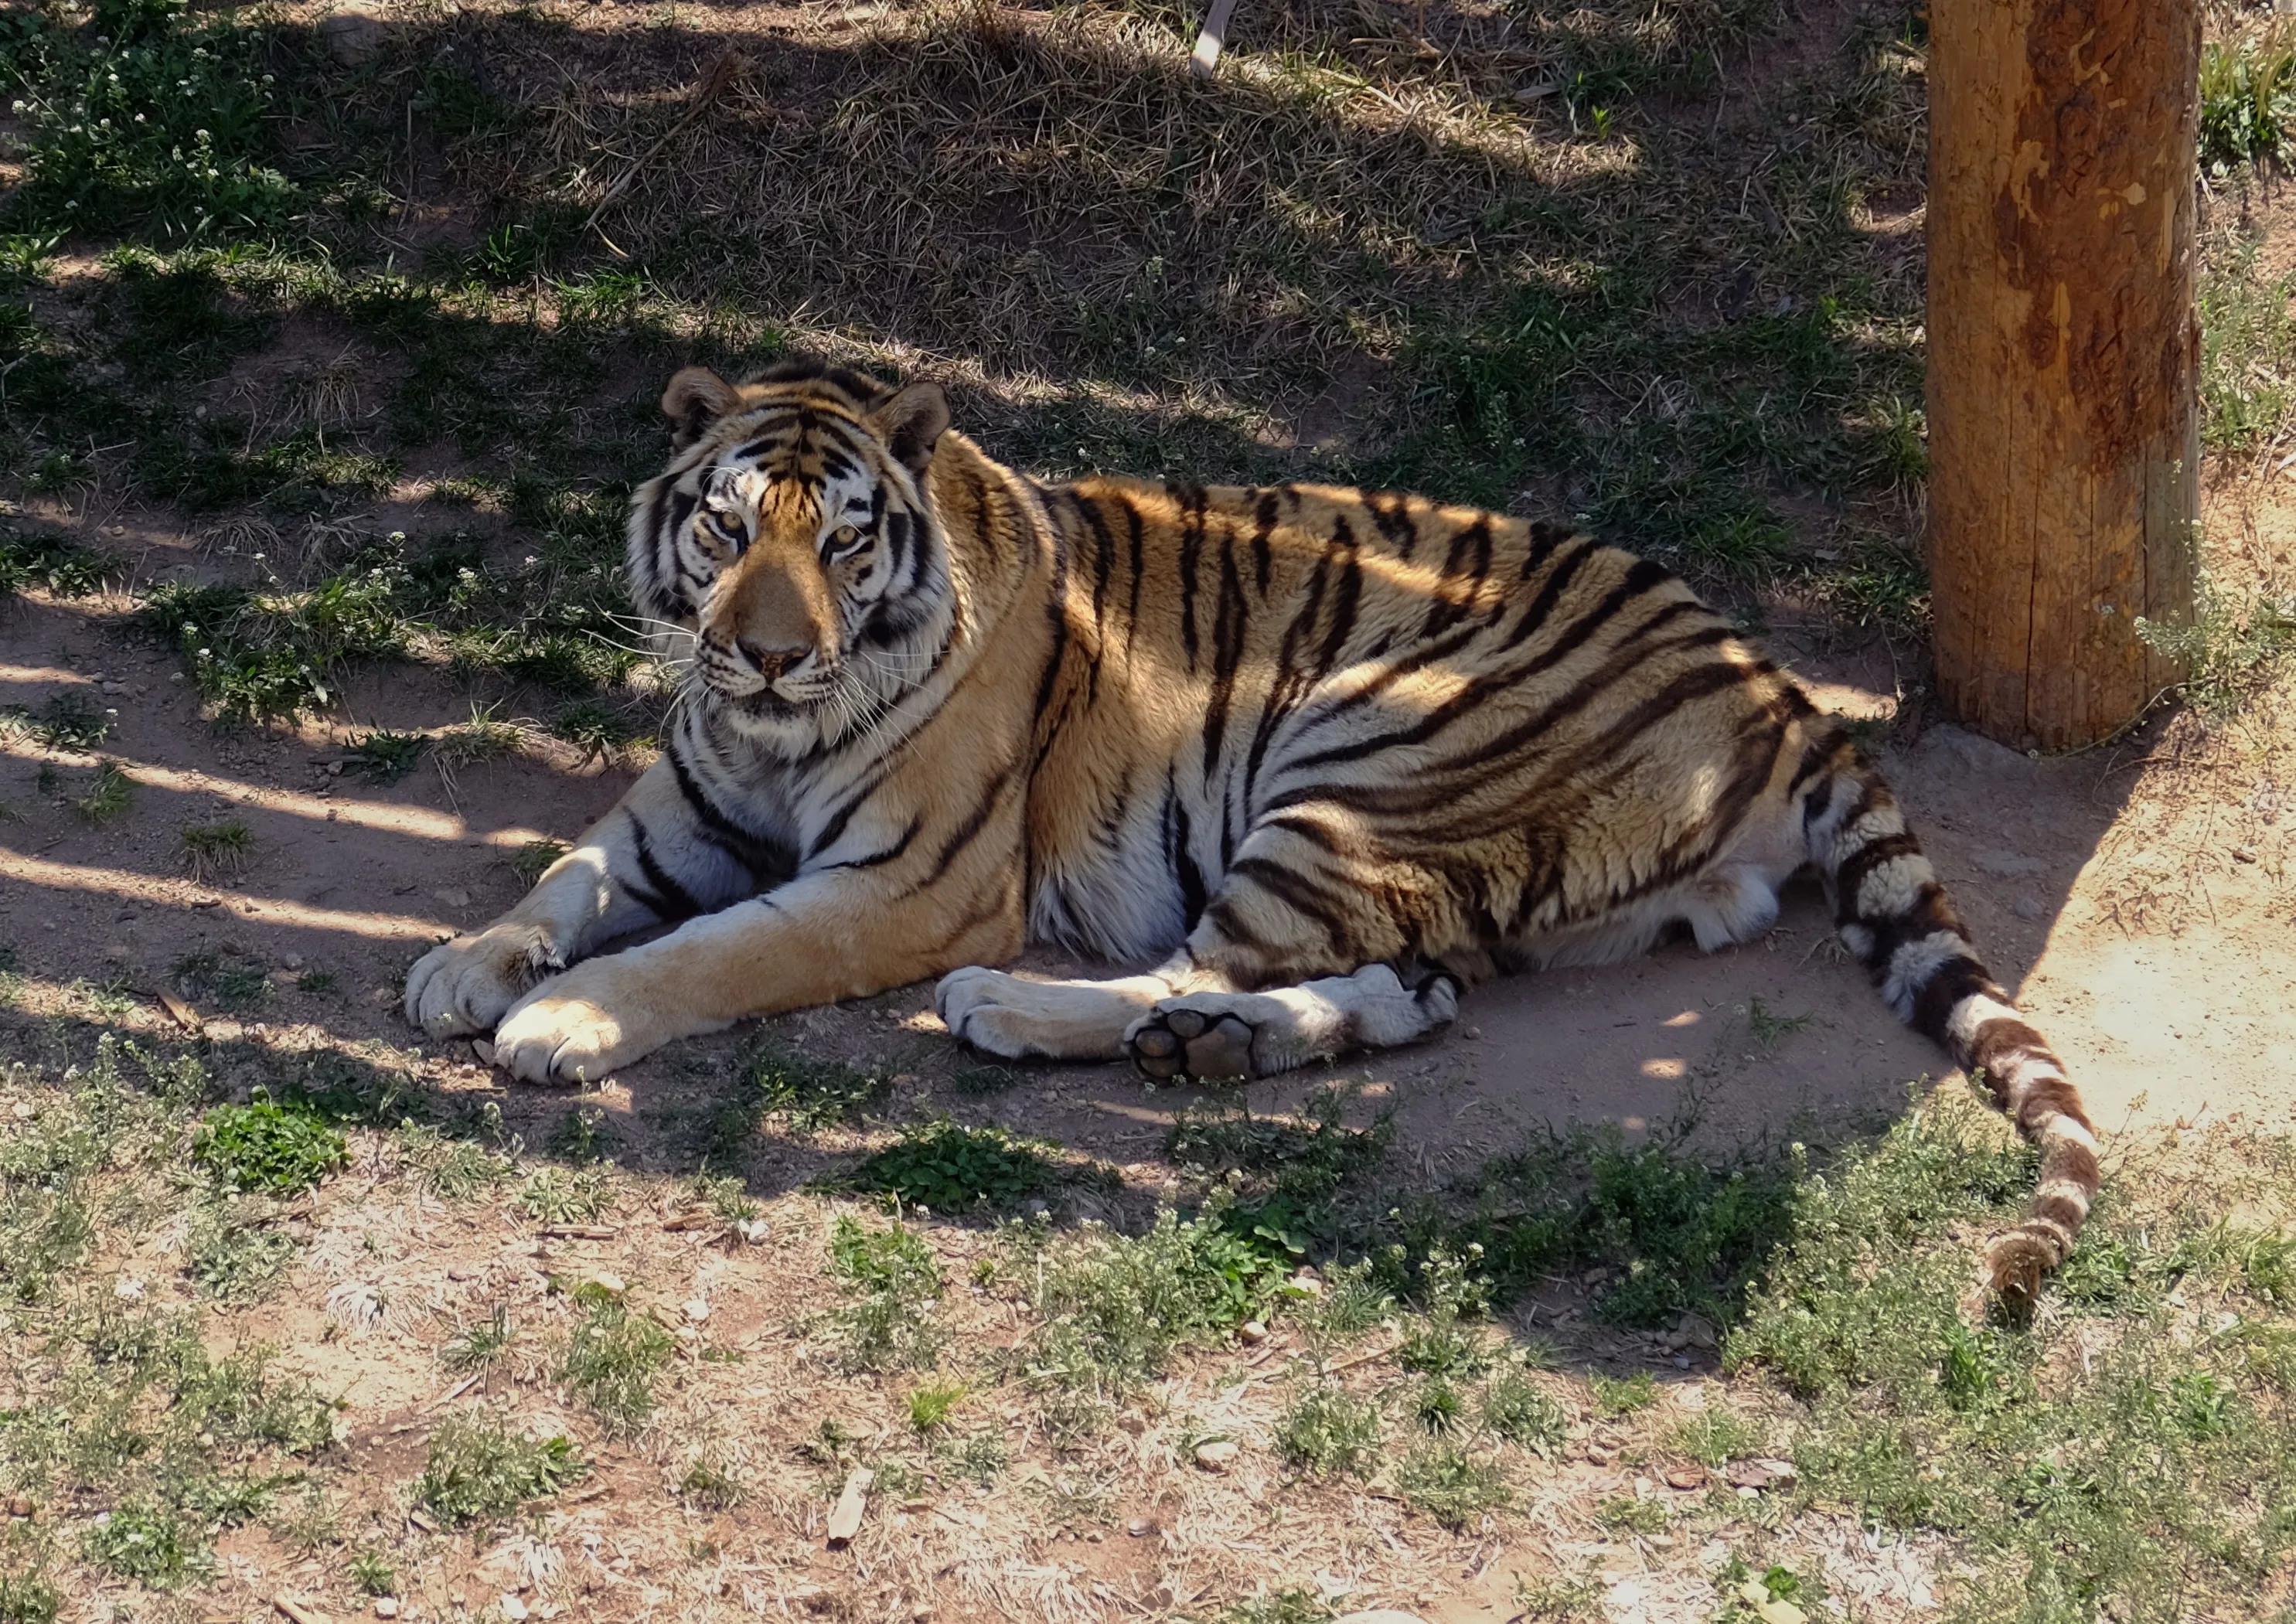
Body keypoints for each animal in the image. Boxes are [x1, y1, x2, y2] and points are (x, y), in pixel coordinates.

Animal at [403, 356, 2100, 1299]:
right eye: (727, 526)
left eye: (840, 541)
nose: (760, 654)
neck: (764, 732)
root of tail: (1779, 686)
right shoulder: (681, 803)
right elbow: (566, 873)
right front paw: (460, 967)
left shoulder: (904, 883)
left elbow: (704, 953)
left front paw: (558, 1021)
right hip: (1441, 857)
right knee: (1402, 994)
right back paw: (1210, 1053)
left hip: (1364, 757)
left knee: (1195, 964)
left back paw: (1023, 1012)